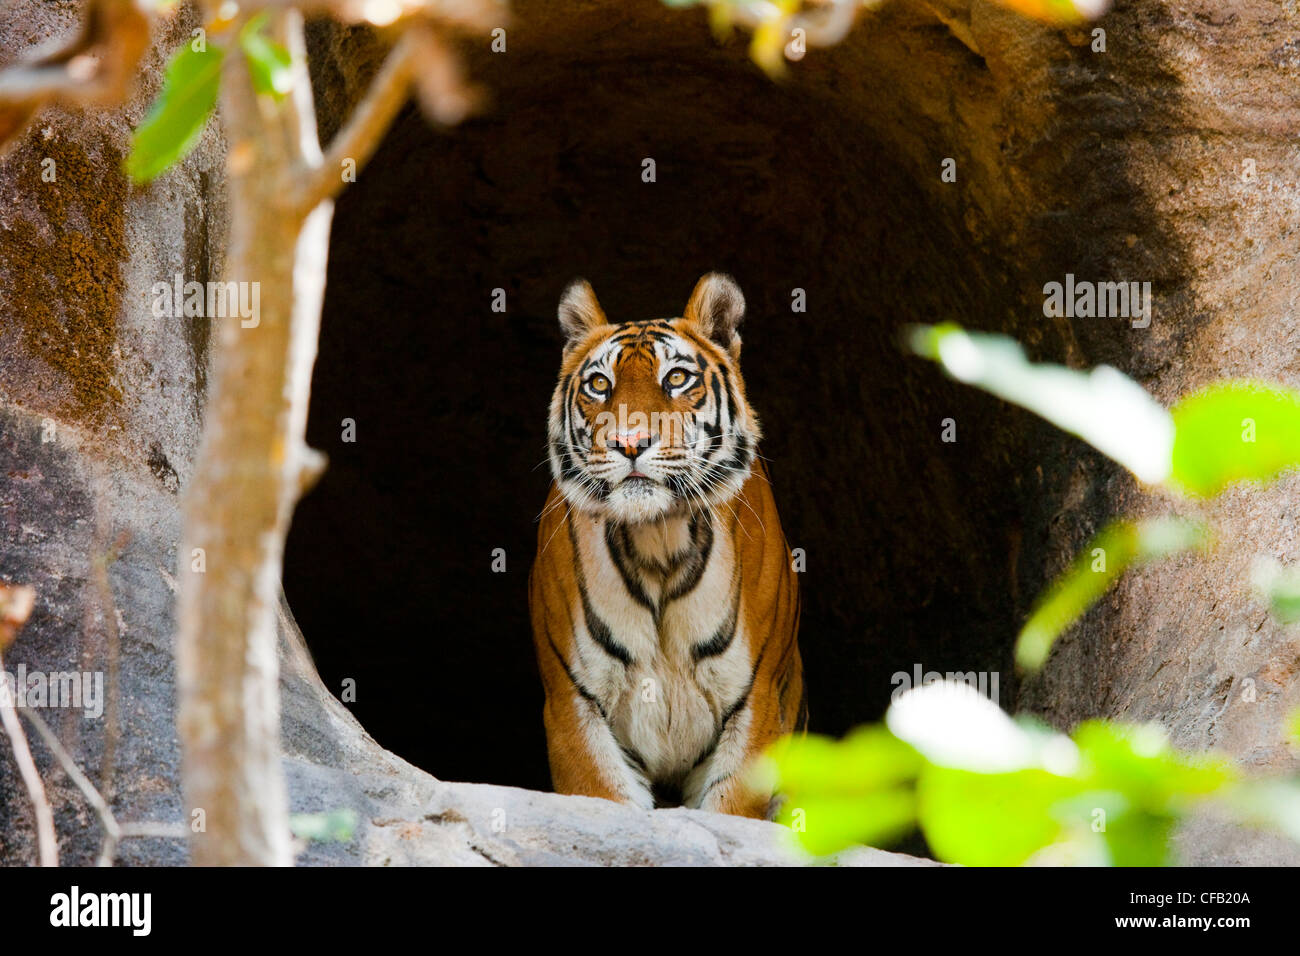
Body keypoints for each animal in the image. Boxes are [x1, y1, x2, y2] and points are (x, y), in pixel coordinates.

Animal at [527, 273, 800, 816]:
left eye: (676, 378)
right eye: (599, 385)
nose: (630, 442)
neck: (657, 542)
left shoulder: (755, 705)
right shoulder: (574, 706)